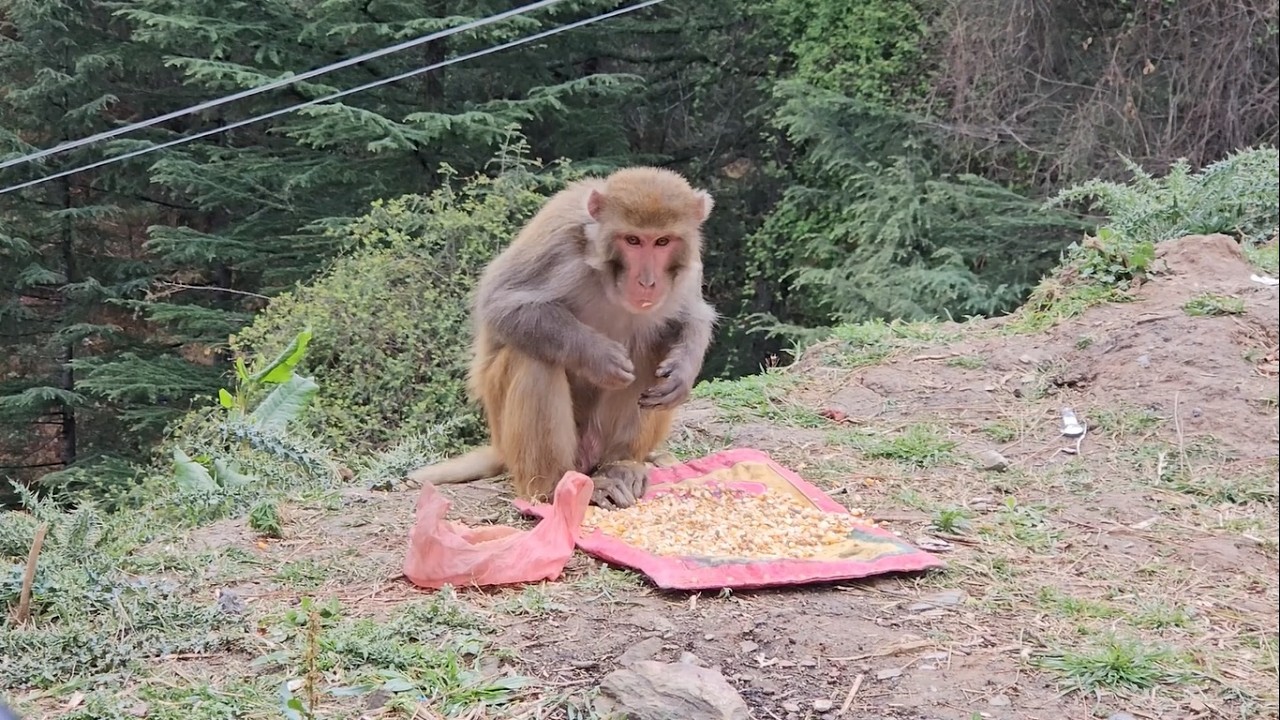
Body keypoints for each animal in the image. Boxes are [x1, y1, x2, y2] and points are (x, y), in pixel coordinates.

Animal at [407, 166, 717, 509]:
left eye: (662, 241)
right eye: (633, 240)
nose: (647, 282)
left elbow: (691, 314)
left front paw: (684, 370)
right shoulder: (559, 236)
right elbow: (500, 303)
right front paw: (598, 356)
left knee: (653, 346)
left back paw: (621, 465)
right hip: (510, 431)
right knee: (535, 359)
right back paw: (557, 486)